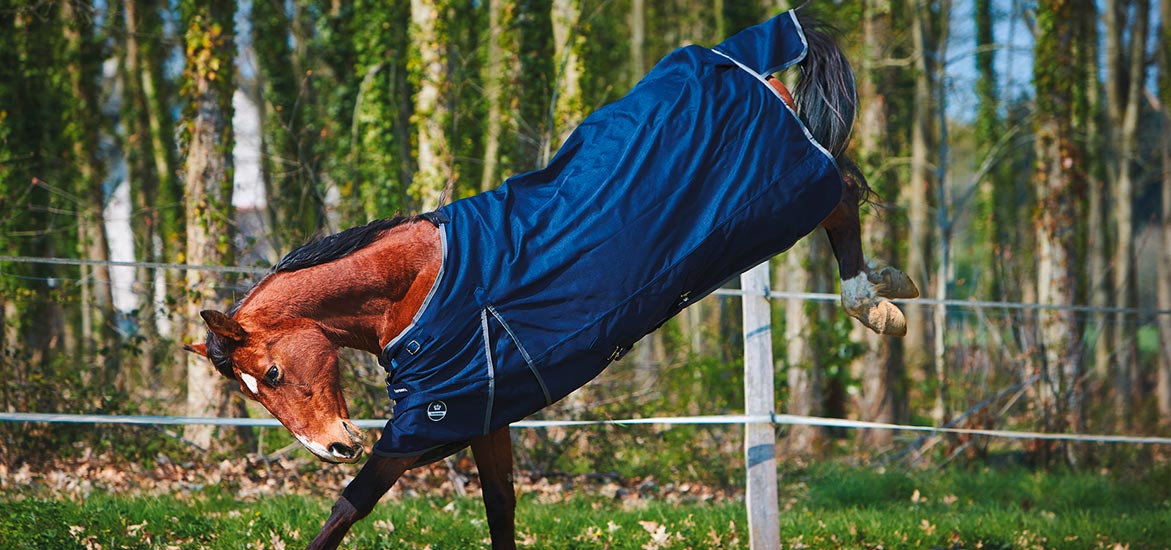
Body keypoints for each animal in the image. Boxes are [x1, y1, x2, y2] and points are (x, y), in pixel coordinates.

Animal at [185, 10, 913, 547]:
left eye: (272, 373)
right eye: (253, 393)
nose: (331, 445)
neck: (419, 287)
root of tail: (739, 63)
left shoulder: (430, 421)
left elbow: (350, 505)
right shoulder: (483, 414)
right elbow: (500, 507)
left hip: (780, 200)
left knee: (843, 192)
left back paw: (872, 301)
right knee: (845, 186)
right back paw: (887, 287)